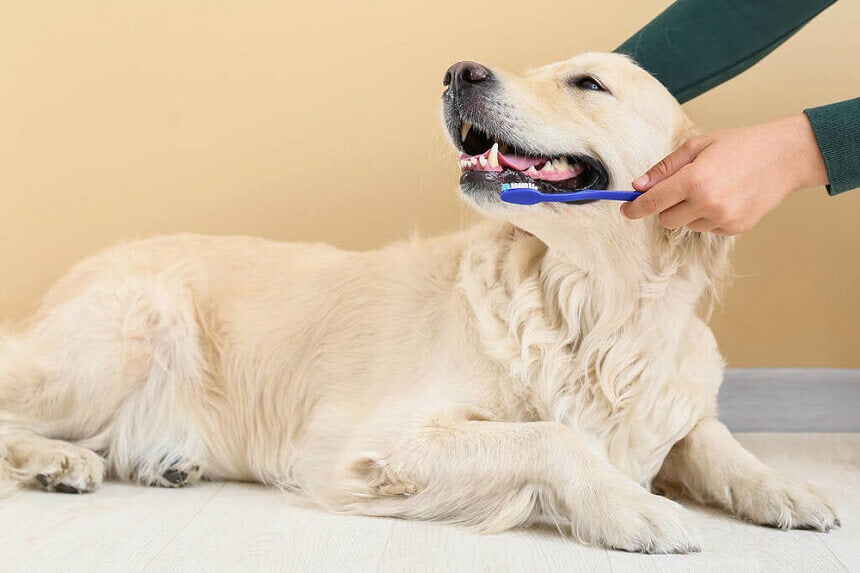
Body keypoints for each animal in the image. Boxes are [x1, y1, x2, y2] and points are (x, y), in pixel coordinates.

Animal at [0, 51, 836, 552]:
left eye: (587, 83)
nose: (460, 71)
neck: (592, 306)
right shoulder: (375, 438)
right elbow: (551, 437)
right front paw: (637, 506)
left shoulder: (670, 399)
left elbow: (715, 441)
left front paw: (788, 487)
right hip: (130, 326)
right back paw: (58, 460)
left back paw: (165, 461)